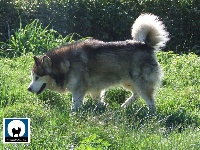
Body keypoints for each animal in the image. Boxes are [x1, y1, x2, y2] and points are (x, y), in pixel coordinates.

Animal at [27, 13, 169, 112]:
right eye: (33, 77)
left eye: (37, 77)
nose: (28, 89)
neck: (67, 64)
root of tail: (146, 45)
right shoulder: (95, 90)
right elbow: (99, 102)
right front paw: (105, 109)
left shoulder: (79, 91)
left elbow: (75, 106)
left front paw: (73, 116)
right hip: (128, 83)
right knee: (136, 94)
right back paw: (123, 107)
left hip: (141, 83)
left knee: (150, 101)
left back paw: (150, 115)